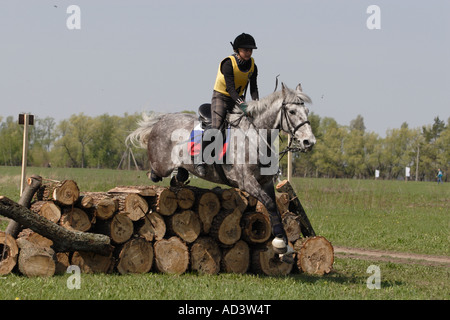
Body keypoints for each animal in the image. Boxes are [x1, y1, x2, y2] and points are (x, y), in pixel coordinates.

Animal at [126, 83, 316, 262]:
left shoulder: (266, 182)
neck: (256, 138)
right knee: (154, 174)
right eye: (292, 111)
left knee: (178, 178)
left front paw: (284, 247)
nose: (309, 142)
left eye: (306, 111)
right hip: (161, 166)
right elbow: (269, 204)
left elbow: (274, 208)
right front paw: (280, 244)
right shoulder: (246, 182)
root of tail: (162, 119)